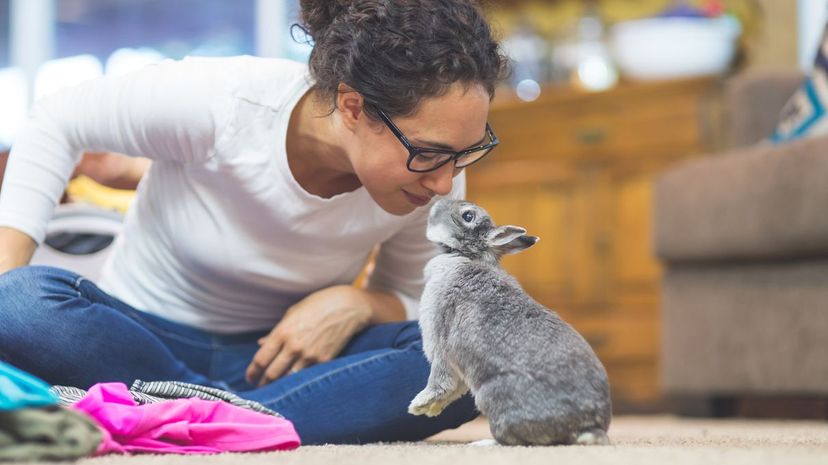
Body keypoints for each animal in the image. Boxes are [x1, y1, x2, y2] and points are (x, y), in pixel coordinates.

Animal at [408, 198, 608, 444]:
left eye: (468, 216)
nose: (438, 202)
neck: (464, 255)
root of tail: (587, 426)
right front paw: (431, 410)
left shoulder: (441, 346)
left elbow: (441, 381)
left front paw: (418, 406)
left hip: (489, 397)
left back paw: (484, 443)